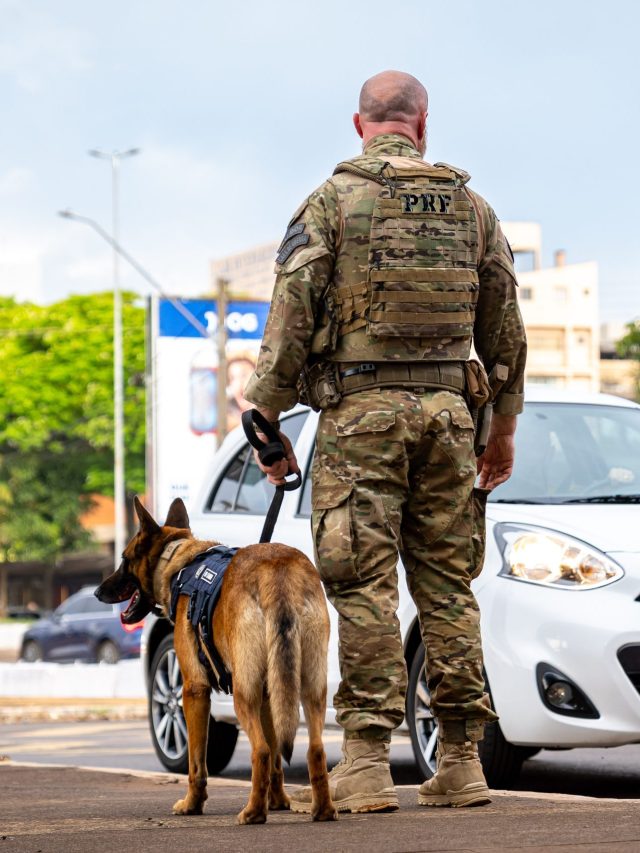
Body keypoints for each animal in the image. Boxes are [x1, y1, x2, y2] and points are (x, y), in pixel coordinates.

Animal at [97, 496, 338, 824]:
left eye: (124, 558)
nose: (97, 591)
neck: (179, 562)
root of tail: (277, 570)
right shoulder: (269, 695)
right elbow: (277, 758)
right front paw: (277, 801)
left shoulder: (193, 691)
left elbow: (197, 763)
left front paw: (192, 804)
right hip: (310, 689)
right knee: (313, 749)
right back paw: (322, 809)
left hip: (243, 694)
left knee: (260, 750)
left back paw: (253, 813)